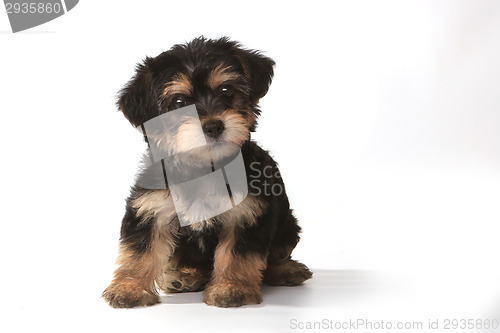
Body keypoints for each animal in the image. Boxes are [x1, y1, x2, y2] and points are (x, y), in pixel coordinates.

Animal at [102, 35, 312, 306]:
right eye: (179, 103)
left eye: (226, 91)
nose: (213, 126)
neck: (203, 166)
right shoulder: (151, 208)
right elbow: (139, 249)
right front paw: (129, 288)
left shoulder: (246, 212)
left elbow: (237, 254)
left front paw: (232, 288)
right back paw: (184, 277)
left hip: (288, 224)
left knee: (278, 252)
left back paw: (287, 270)